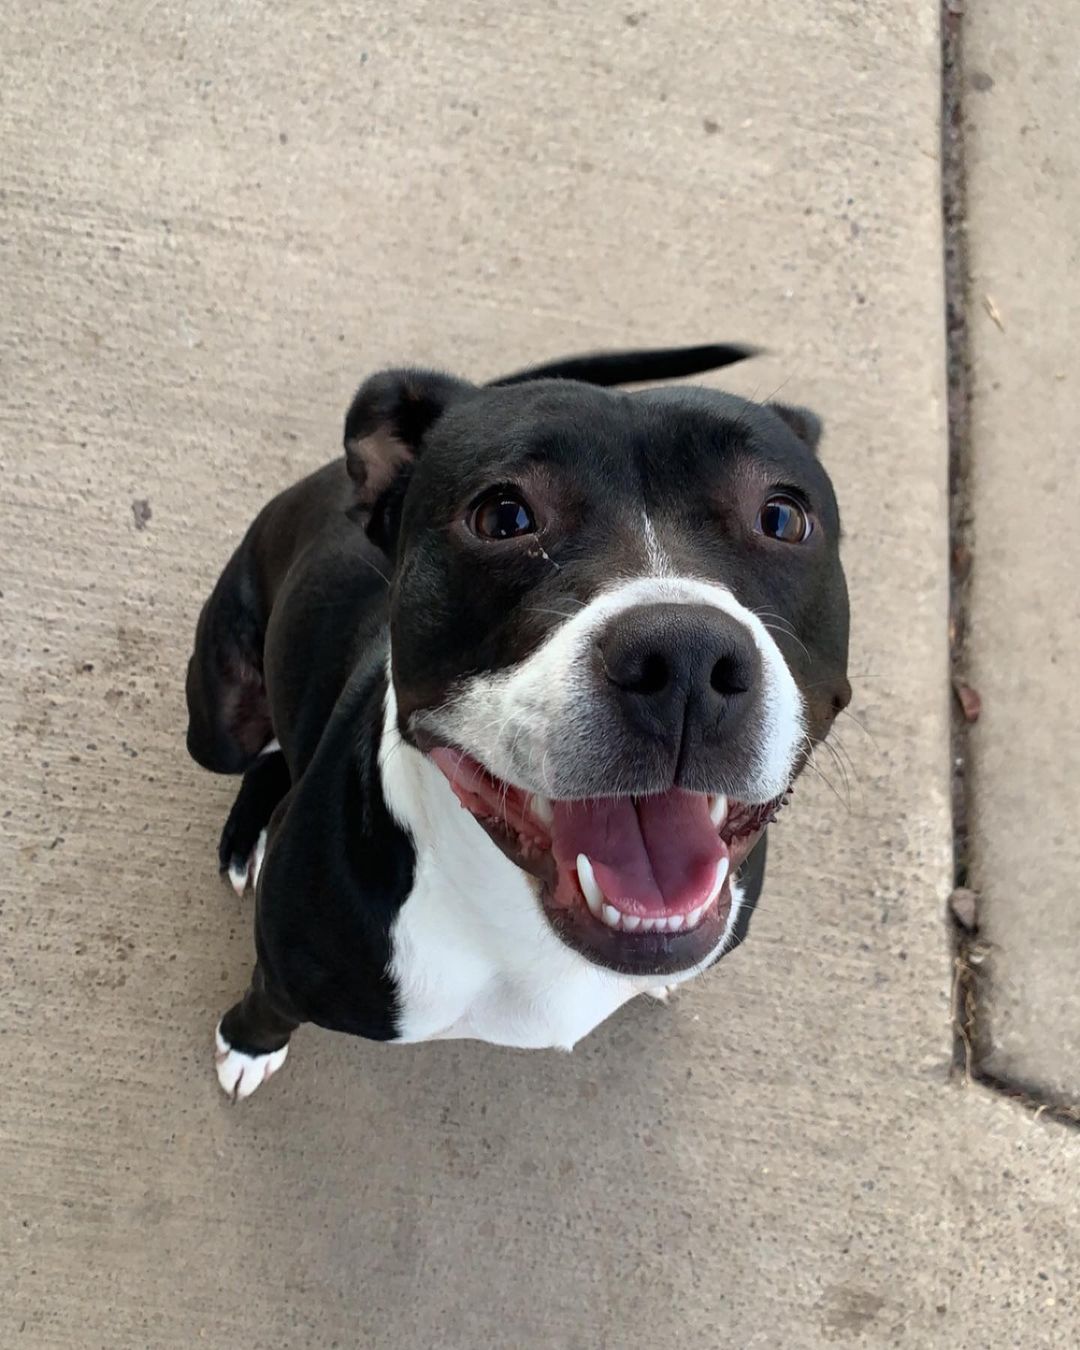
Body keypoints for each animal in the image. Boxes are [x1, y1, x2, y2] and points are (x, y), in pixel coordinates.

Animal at [186, 342, 847, 1101]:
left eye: (782, 518)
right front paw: (248, 1044)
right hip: (219, 721)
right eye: (503, 517)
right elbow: (266, 1003)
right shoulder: (286, 969)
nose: (684, 658)